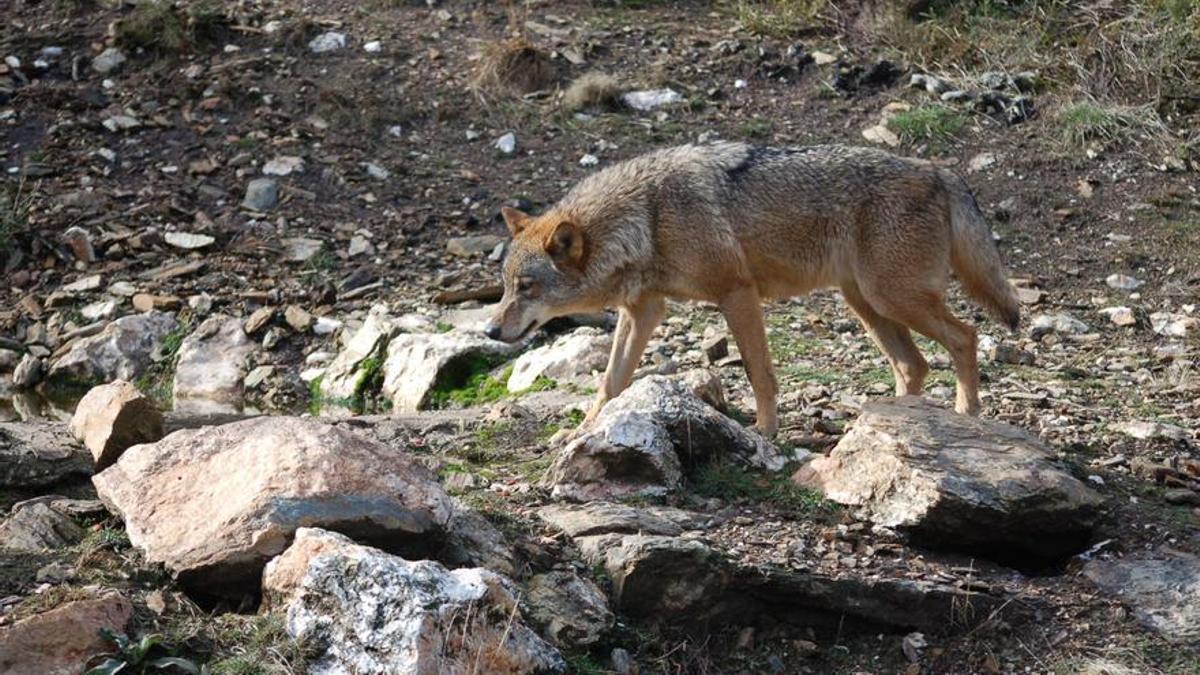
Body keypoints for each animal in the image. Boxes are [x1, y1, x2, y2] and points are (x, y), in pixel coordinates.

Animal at [482, 142, 1017, 437]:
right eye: (505, 287)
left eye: (527, 287)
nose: (488, 331)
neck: (647, 218)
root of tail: (939, 170)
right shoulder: (643, 311)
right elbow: (610, 382)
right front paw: (583, 430)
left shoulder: (736, 294)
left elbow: (760, 375)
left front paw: (765, 432)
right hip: (867, 303)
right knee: (914, 364)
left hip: (893, 298)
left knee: (965, 337)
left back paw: (966, 414)